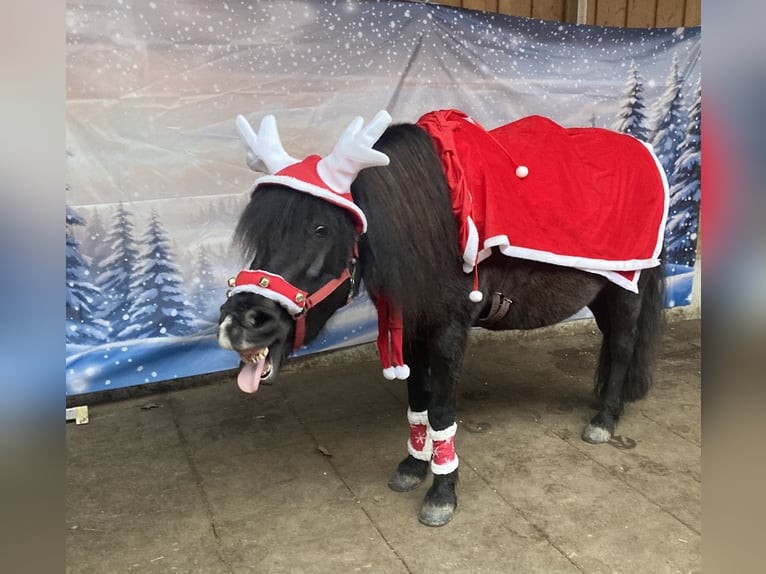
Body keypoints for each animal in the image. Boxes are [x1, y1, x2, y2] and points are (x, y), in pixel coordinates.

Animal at [218, 109, 667, 527]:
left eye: (321, 228)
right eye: (261, 233)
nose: (241, 322)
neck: (430, 224)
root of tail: (646, 152)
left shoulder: (449, 332)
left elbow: (441, 411)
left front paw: (442, 491)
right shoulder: (412, 327)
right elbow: (418, 400)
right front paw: (414, 465)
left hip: (626, 288)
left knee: (622, 346)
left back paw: (605, 418)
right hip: (602, 292)